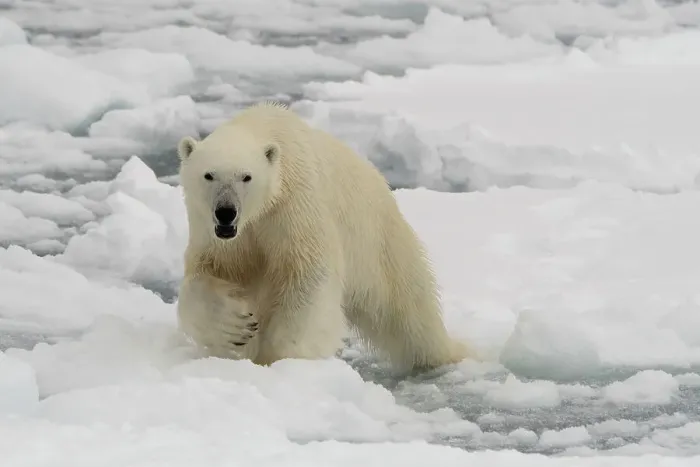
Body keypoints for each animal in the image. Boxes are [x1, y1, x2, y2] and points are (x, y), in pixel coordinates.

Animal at [175, 101, 472, 371]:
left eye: (246, 177)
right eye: (209, 175)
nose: (226, 212)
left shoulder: (296, 207)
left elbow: (308, 273)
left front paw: (279, 356)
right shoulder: (215, 234)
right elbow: (205, 273)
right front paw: (236, 326)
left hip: (379, 243)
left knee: (408, 313)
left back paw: (446, 354)